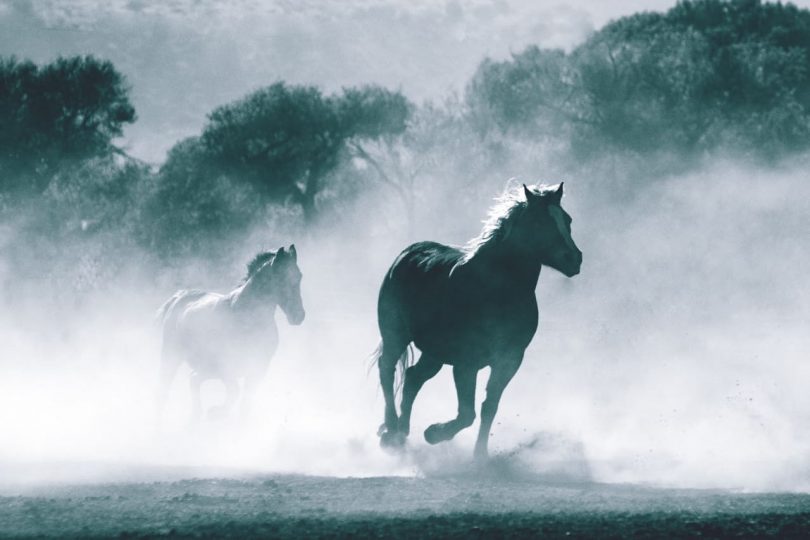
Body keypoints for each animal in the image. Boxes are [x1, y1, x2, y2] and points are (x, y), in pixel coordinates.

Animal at [155, 247, 304, 424]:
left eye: (299, 276)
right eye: (280, 277)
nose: (299, 316)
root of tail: (179, 297)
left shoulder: (258, 368)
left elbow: (245, 403)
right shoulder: (227, 367)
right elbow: (234, 392)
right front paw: (215, 412)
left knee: (193, 380)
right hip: (172, 356)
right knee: (166, 388)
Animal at [374, 184, 580, 458]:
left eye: (567, 220)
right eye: (539, 221)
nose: (574, 259)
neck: (495, 290)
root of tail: (407, 253)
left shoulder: (509, 360)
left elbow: (488, 407)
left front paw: (480, 455)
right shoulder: (466, 362)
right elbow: (467, 414)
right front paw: (434, 433)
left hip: (434, 353)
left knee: (413, 377)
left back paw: (401, 433)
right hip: (395, 335)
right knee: (387, 369)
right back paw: (391, 431)